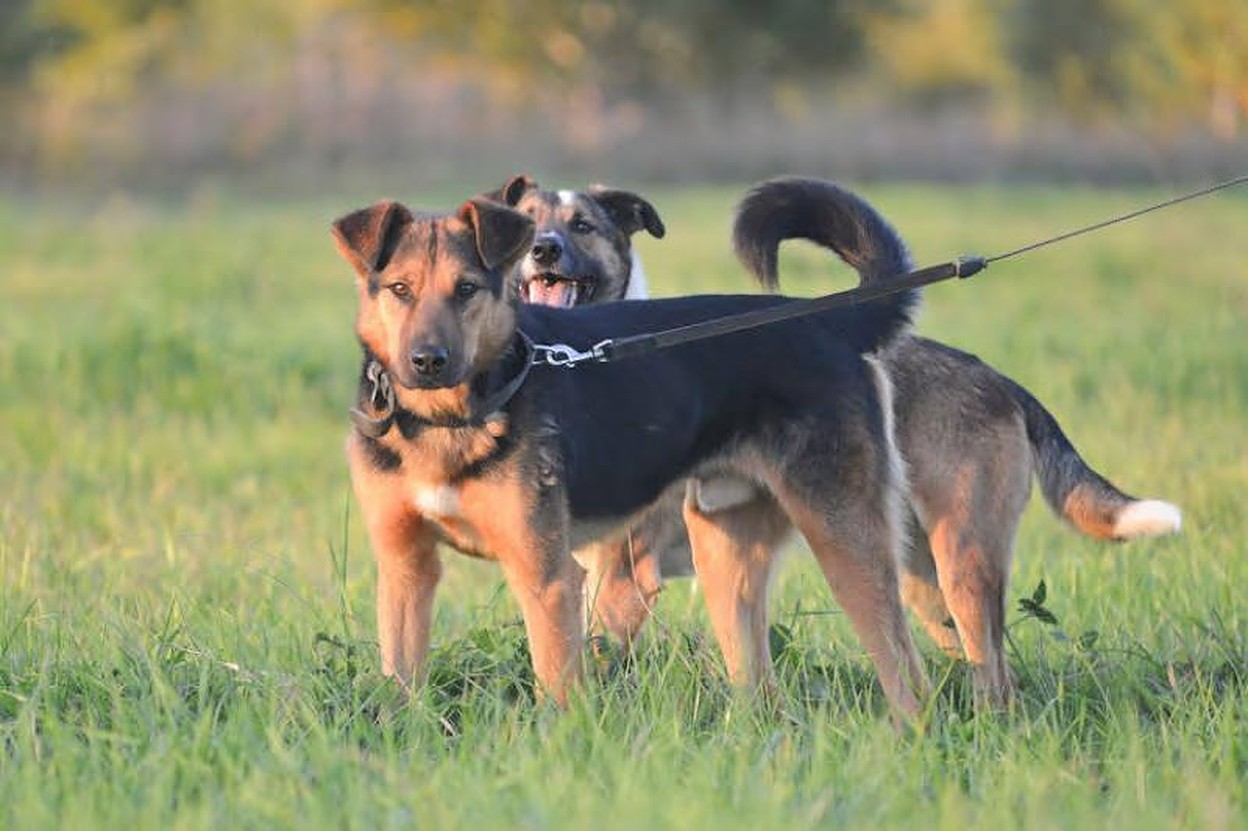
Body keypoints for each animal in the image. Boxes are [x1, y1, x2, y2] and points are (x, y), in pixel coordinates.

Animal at [504, 174, 1178, 703]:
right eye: (528, 222)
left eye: (583, 225)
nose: (544, 249)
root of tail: (995, 378)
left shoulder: (627, 572)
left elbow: (592, 654)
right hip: (913, 572)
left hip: (960, 558)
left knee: (991, 674)